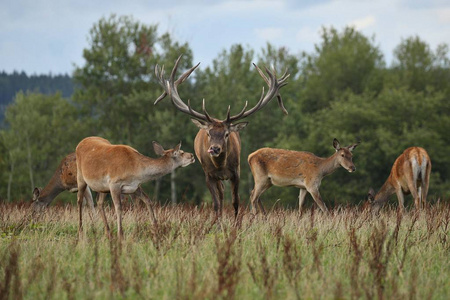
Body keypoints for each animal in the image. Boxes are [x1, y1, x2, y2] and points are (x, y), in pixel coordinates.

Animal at [153, 55, 290, 217]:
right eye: (208, 133)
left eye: (226, 134)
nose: (215, 149)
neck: (220, 166)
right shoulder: (208, 175)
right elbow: (216, 204)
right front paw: (217, 222)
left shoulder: (236, 172)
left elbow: (236, 202)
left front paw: (235, 223)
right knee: (221, 194)